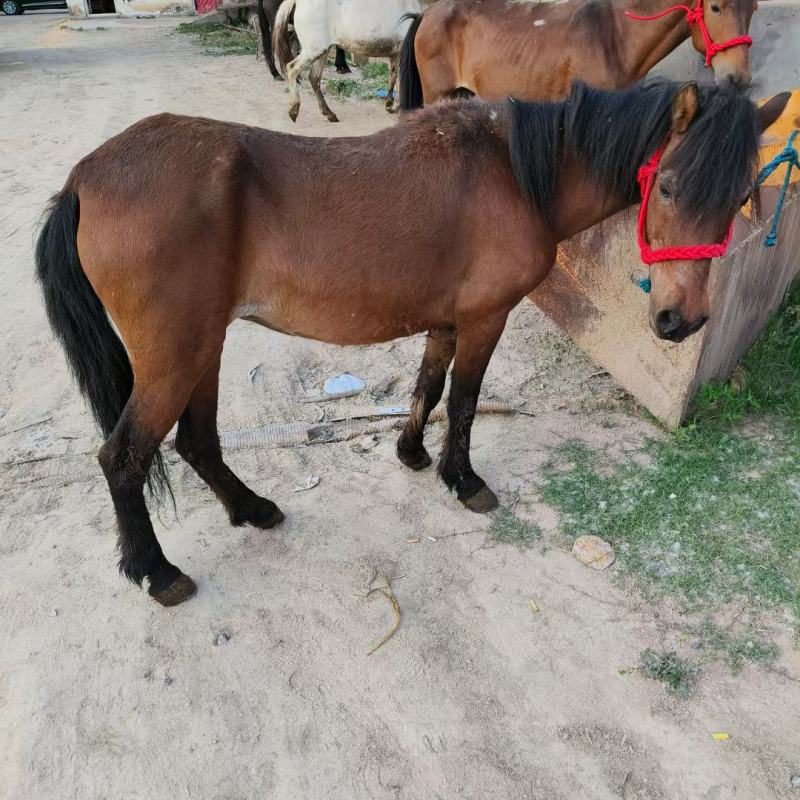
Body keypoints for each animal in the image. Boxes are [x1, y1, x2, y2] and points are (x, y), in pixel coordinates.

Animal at [35, 82, 788, 606]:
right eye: (669, 185)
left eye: (741, 196)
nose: (681, 321)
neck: (514, 173)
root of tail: (85, 176)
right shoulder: (486, 318)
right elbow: (465, 399)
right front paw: (464, 480)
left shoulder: (447, 320)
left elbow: (428, 382)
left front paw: (412, 454)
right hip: (176, 355)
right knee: (122, 458)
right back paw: (156, 572)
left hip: (204, 347)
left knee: (197, 443)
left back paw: (251, 510)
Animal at [273, 0, 425, 121]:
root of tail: (298, 2)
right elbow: (401, 79)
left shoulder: (395, 54)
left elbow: (393, 77)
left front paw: (390, 105)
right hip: (313, 50)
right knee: (292, 68)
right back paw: (294, 110)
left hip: (322, 51)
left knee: (314, 78)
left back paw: (329, 114)